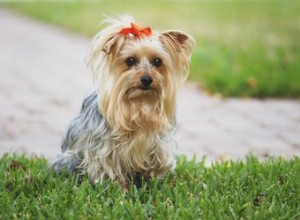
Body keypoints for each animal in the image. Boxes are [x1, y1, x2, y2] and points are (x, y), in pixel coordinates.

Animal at [51, 15, 195, 186]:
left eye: (157, 61)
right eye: (130, 60)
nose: (147, 79)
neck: (140, 103)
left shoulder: (159, 146)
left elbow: (156, 166)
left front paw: (151, 184)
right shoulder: (105, 148)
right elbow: (108, 168)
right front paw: (120, 188)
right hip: (70, 158)